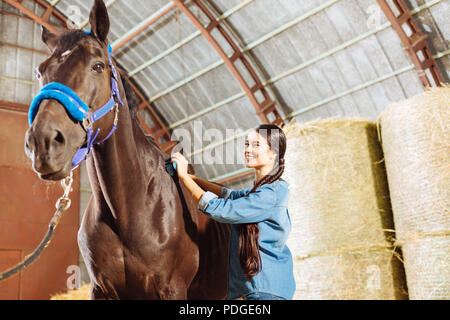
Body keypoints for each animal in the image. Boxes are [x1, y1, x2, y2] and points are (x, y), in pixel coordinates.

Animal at [24, 0, 229, 300]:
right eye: (40, 71)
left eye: (97, 66)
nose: (43, 142)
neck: (130, 211)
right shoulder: (101, 290)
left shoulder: (172, 289)